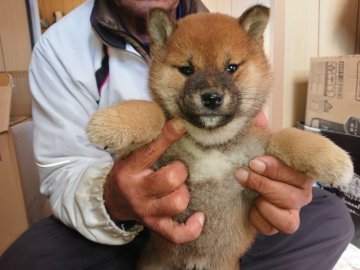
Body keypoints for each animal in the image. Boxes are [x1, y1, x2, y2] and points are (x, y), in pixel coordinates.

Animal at [86, 4, 352, 270]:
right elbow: (153, 112)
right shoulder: (152, 160)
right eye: (187, 70)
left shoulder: (257, 163)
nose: (212, 98)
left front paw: (333, 159)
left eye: (231, 67)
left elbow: (284, 136)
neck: (211, 142)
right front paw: (111, 123)